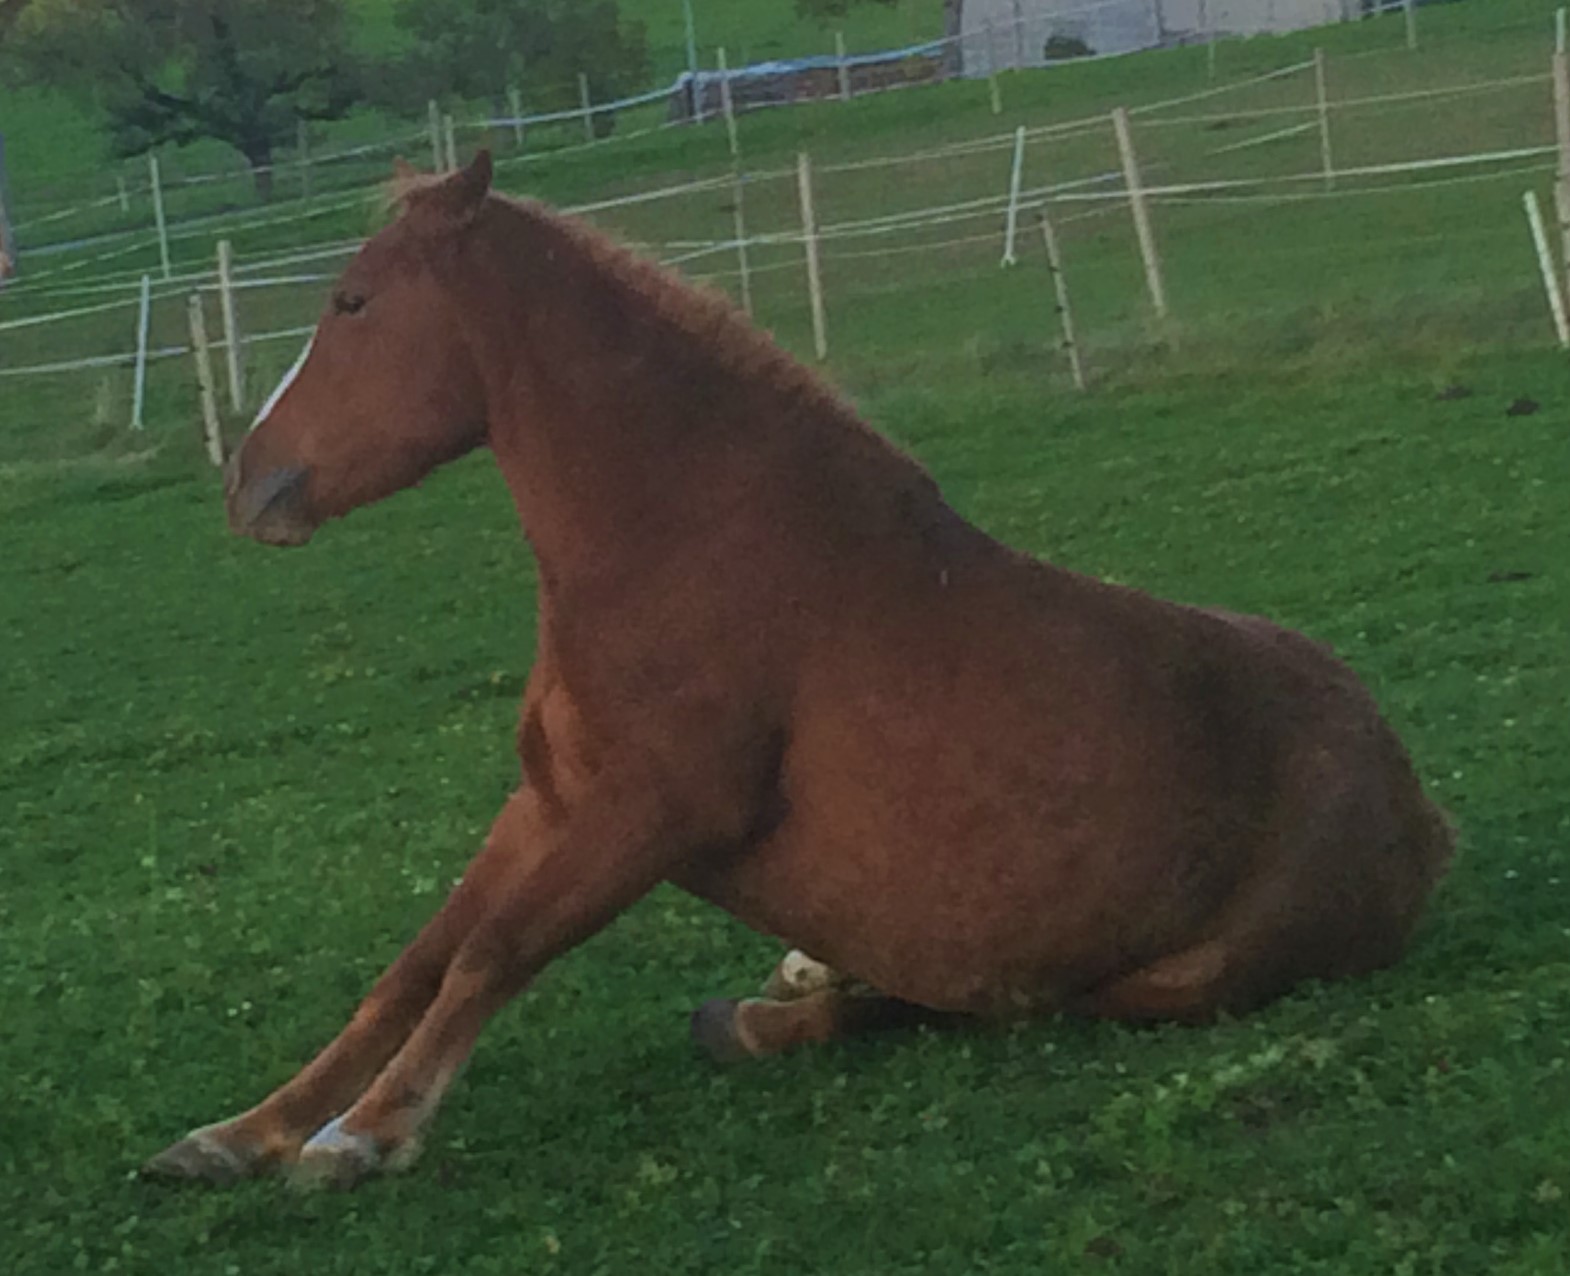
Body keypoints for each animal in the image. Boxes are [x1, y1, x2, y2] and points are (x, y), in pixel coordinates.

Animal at [144, 154, 1444, 1192]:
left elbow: (489, 955)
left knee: (966, 1002)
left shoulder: (647, 816)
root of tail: (1418, 816)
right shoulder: (552, 801)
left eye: (352, 301)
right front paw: (239, 1134)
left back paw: (760, 1017)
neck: (688, 542)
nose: (246, 482)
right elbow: (413, 965)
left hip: (1163, 985)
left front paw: (360, 1139)